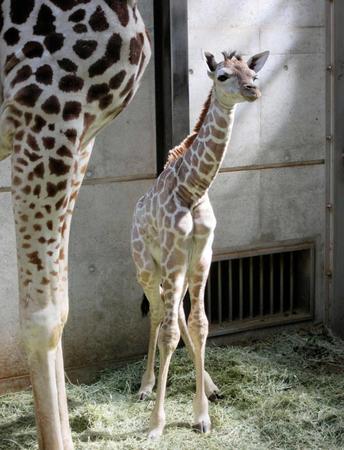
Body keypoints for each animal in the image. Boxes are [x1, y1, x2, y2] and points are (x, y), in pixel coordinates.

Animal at [132, 48, 268, 436]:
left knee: (175, 311)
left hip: (172, 270)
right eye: (223, 75)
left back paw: (210, 385)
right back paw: (146, 386)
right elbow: (169, 333)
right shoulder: (175, 254)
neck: (192, 189)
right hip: (147, 267)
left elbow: (200, 324)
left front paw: (202, 414)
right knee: (159, 313)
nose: (253, 90)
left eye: (252, 72)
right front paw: (156, 424)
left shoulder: (203, 255)